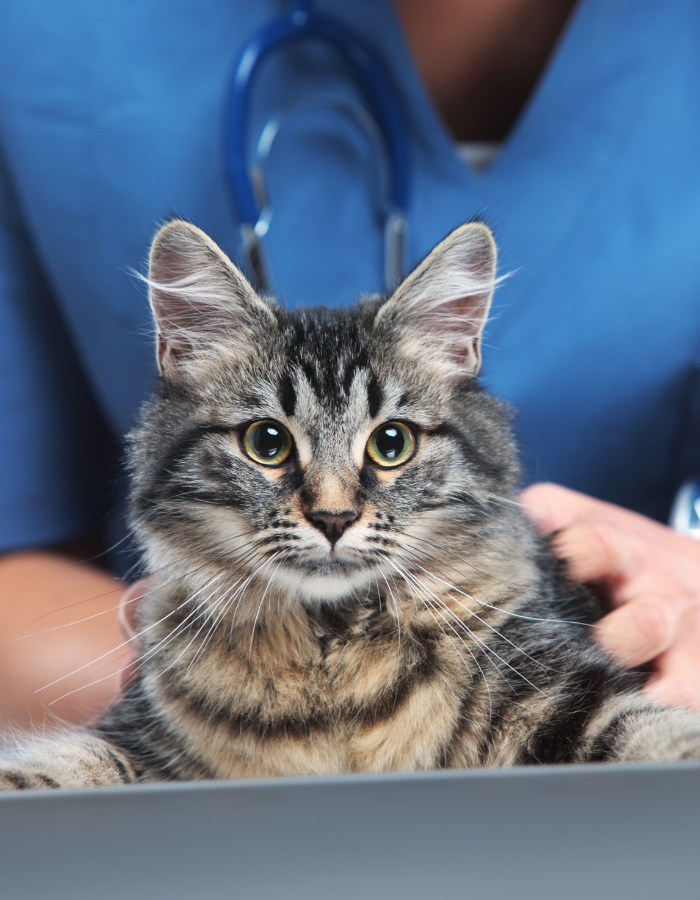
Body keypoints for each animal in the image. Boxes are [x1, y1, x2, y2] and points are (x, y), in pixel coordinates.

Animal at [1, 220, 700, 788]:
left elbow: (658, 735)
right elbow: (66, 762)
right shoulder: (136, 734)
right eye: (267, 443)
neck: (333, 655)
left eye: (392, 443)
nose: (334, 518)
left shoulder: (566, 691)